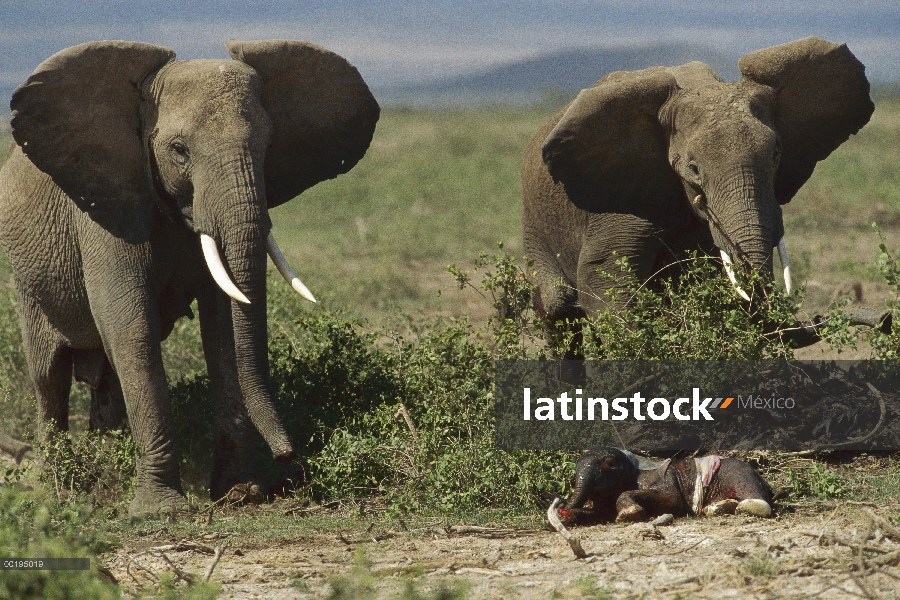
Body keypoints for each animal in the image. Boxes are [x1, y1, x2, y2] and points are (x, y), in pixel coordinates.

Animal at [0, 41, 380, 516]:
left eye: (268, 145)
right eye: (179, 149)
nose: (288, 455)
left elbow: (221, 329)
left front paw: (243, 493)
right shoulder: (104, 206)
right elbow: (129, 324)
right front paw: (162, 509)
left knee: (105, 379)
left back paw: (107, 482)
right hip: (27, 285)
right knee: (49, 378)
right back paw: (63, 495)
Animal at [524, 35, 876, 346]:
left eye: (777, 154)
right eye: (693, 169)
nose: (881, 319)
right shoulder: (621, 196)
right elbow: (601, 278)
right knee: (558, 307)